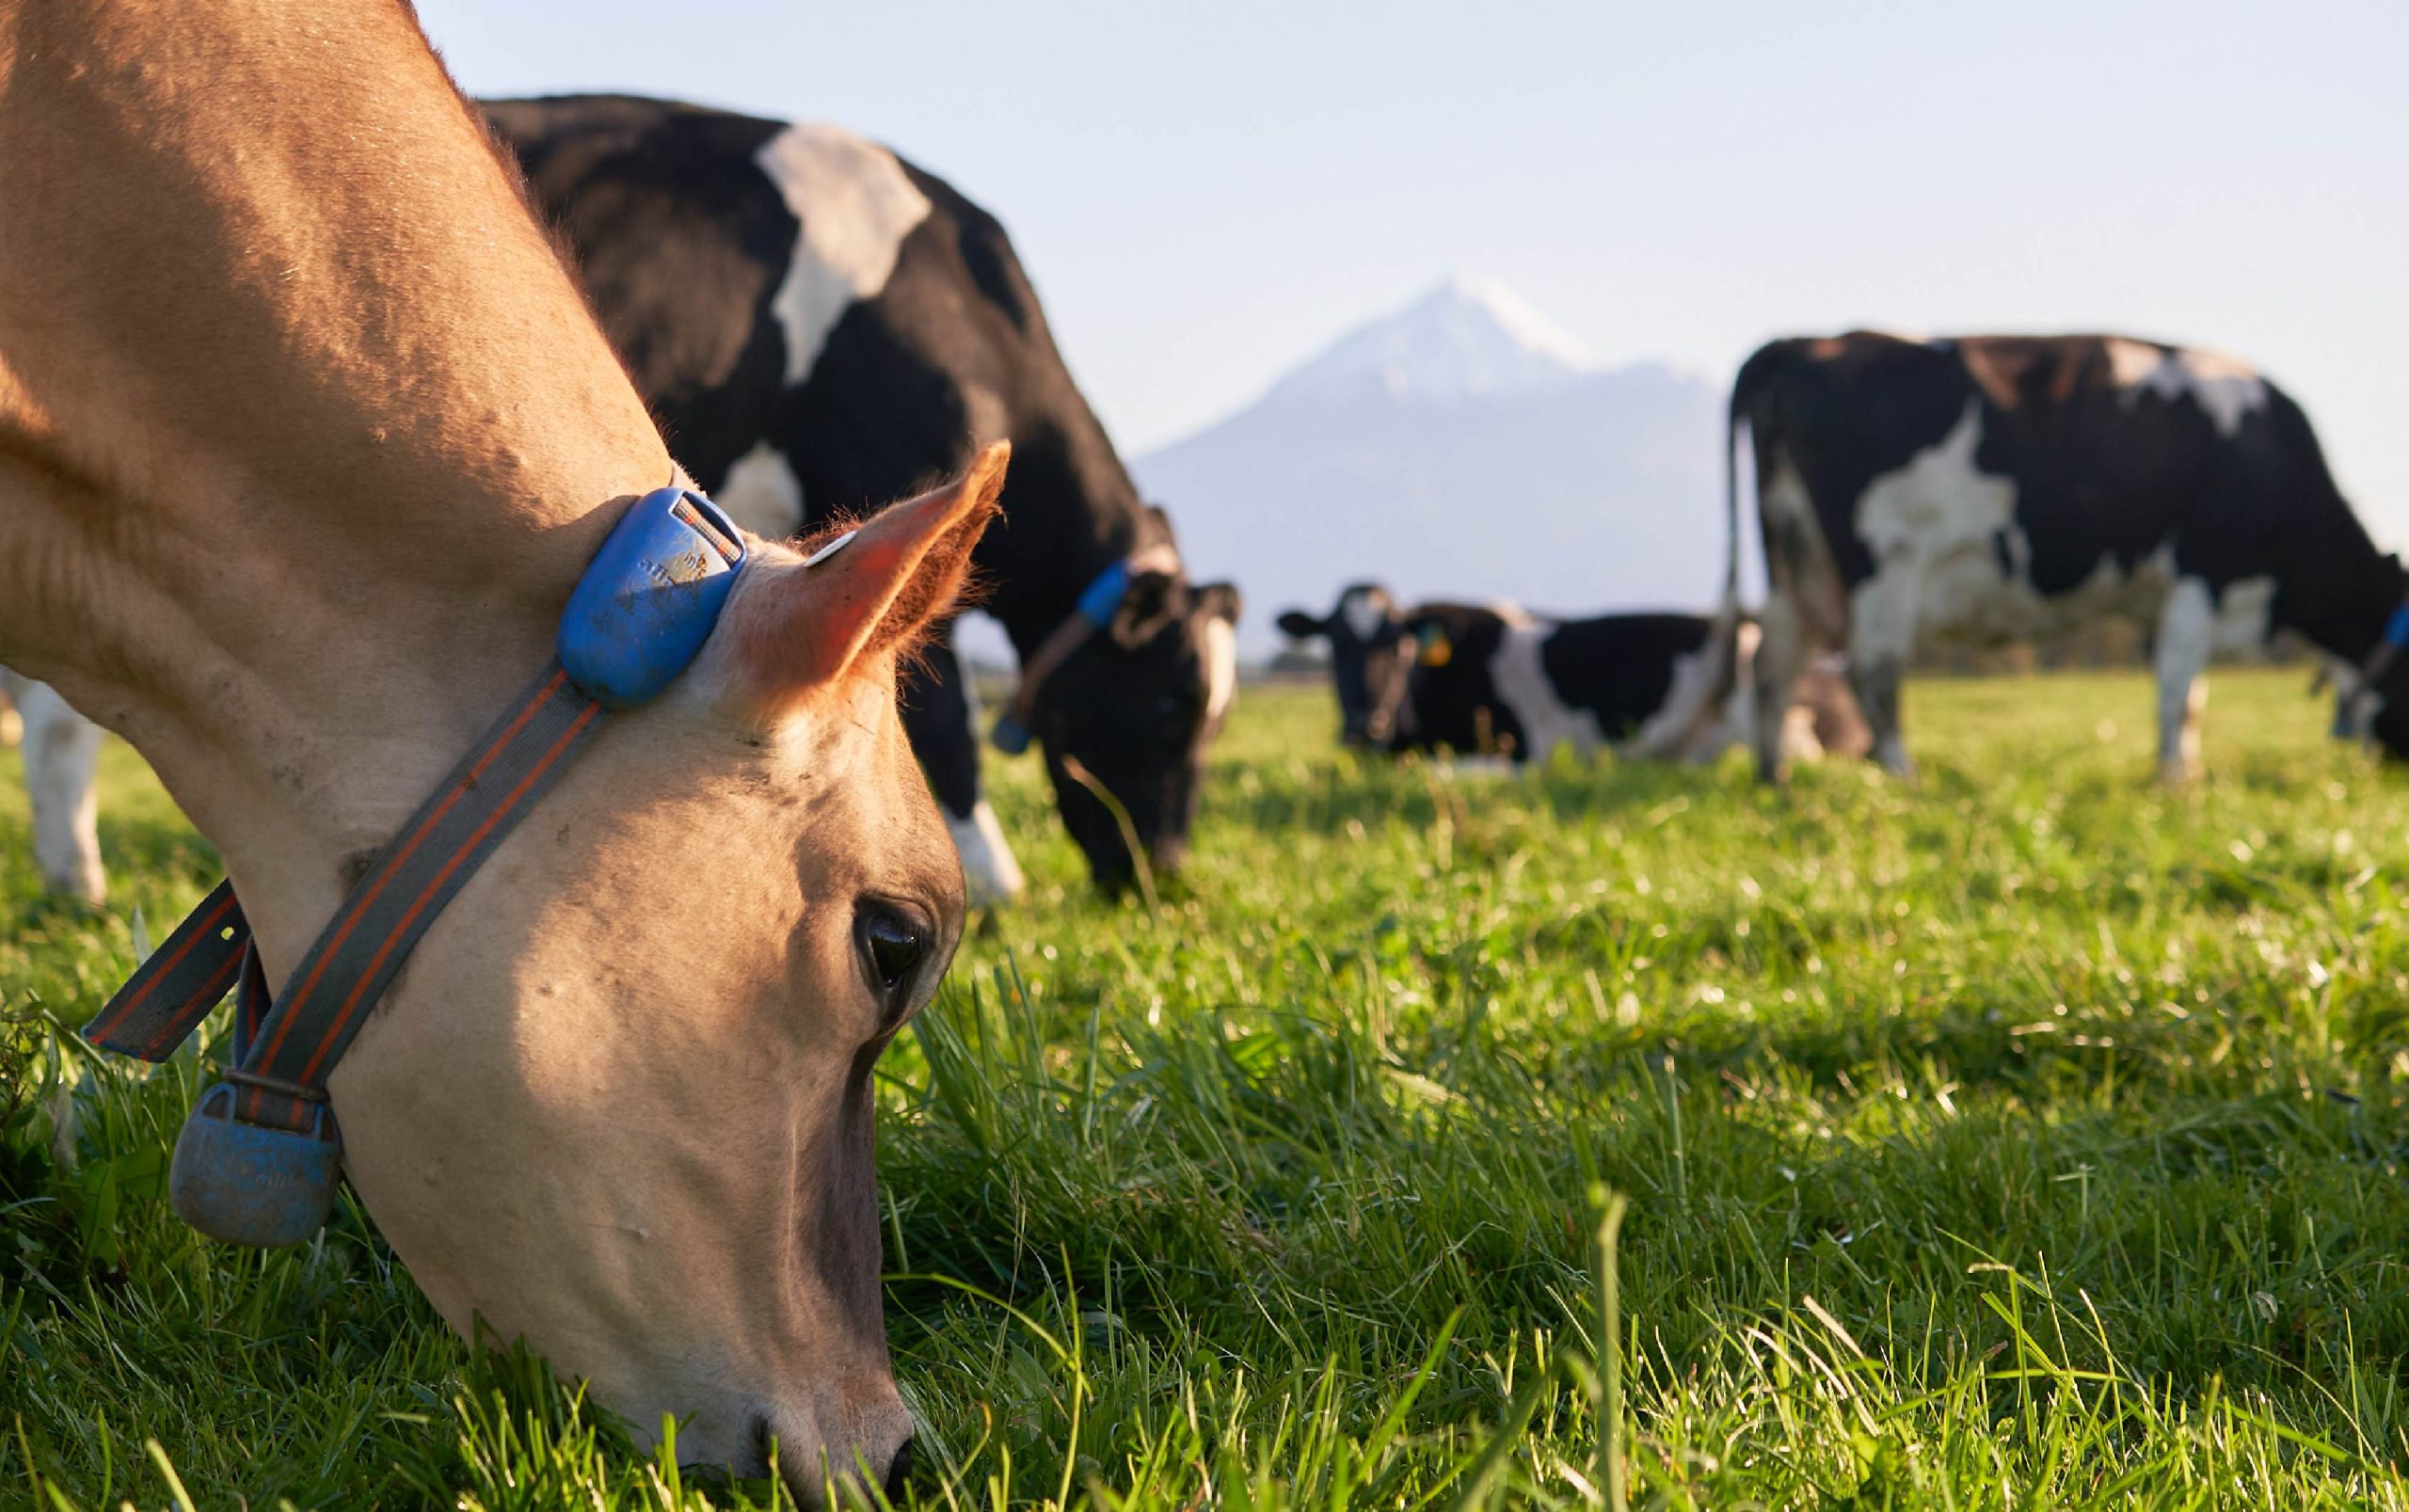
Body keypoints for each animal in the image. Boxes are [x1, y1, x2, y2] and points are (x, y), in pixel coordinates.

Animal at [1730, 331, 2409, 782]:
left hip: (1795, 555)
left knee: (1773, 662)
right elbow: (2178, 687)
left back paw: (1774, 777)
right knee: (1872, 669)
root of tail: (1808, 344)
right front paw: (2174, 781)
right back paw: (1903, 776)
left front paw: (2181, 769)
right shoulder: (2199, 575)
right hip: (1884, 560)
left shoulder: (2159, 598)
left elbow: (2186, 695)